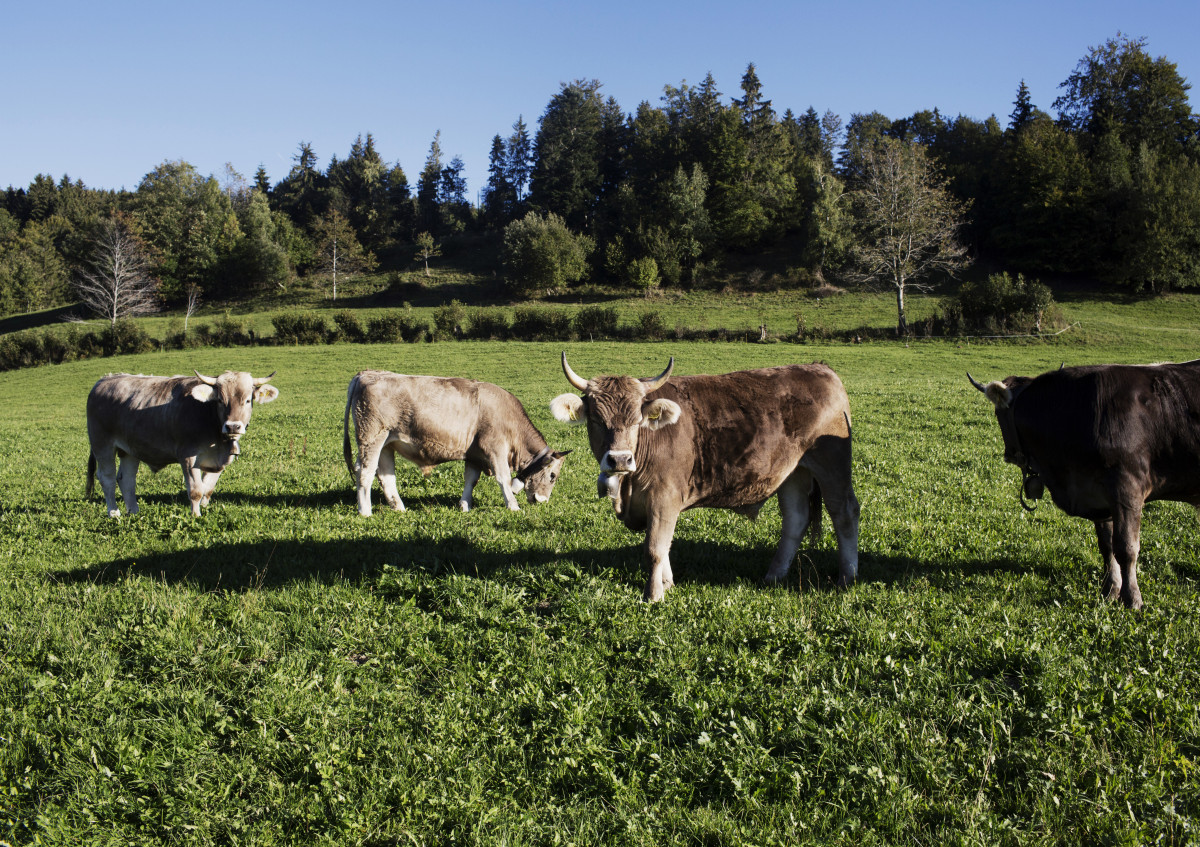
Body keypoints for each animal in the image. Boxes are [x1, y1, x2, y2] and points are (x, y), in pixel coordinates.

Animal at [87, 371, 278, 518]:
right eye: (220, 400)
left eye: (247, 400)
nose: (233, 426)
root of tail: (105, 380)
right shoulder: (188, 456)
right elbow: (196, 490)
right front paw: (196, 515)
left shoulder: (221, 461)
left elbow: (207, 489)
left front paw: (204, 508)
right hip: (102, 444)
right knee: (107, 478)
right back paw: (113, 512)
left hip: (130, 449)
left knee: (126, 479)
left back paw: (133, 511)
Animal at [345, 367, 568, 511]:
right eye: (552, 476)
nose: (542, 500)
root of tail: (367, 373)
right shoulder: (495, 448)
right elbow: (503, 478)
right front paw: (513, 506)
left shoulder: (474, 454)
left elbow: (471, 479)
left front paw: (465, 506)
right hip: (371, 437)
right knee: (365, 472)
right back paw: (365, 511)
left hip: (387, 444)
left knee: (386, 475)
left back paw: (399, 507)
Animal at [552, 352, 864, 597]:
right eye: (596, 419)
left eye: (637, 420)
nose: (619, 459)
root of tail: (819, 367)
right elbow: (664, 546)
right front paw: (667, 584)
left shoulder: (664, 497)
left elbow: (655, 548)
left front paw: (653, 595)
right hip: (794, 472)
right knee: (796, 519)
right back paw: (773, 576)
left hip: (832, 464)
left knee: (845, 512)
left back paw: (847, 577)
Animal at [969, 357, 1200, 607]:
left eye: (998, 414)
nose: (1009, 454)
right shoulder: (1099, 495)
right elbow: (1107, 547)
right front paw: (1110, 589)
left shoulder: (1127, 490)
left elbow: (1126, 548)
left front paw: (1132, 598)